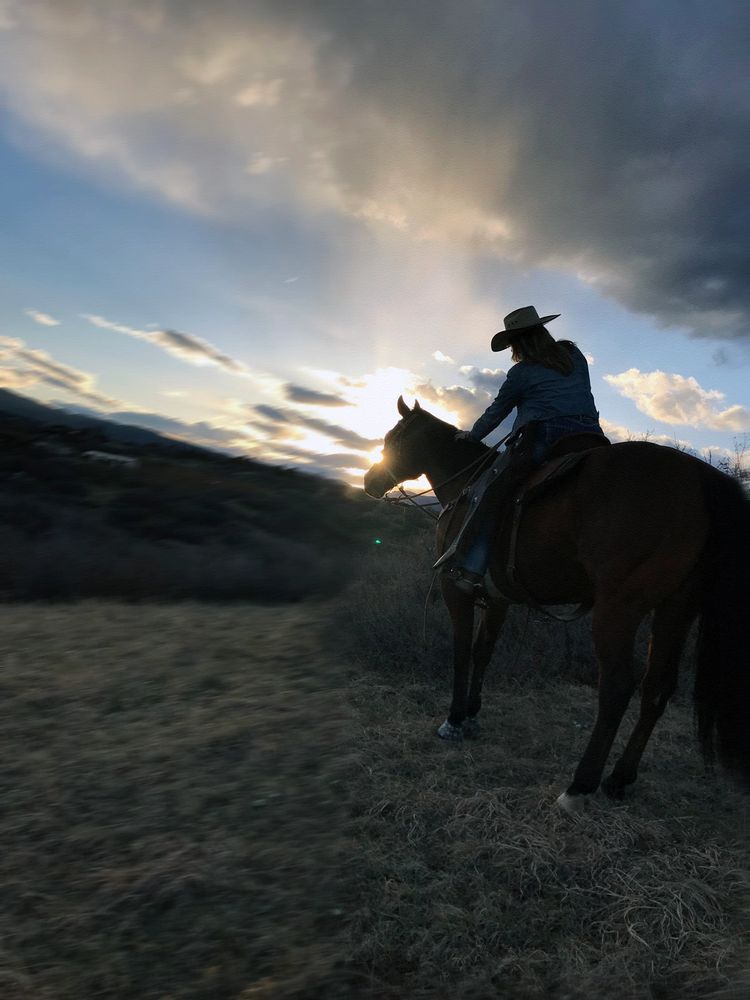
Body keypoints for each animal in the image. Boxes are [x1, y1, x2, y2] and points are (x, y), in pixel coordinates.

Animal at [364, 396, 750, 812]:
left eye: (394, 438)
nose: (369, 481)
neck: (466, 489)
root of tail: (698, 476)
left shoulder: (456, 590)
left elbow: (462, 653)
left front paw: (452, 720)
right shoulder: (499, 599)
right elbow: (484, 652)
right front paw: (471, 714)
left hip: (619, 608)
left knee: (617, 686)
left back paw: (580, 785)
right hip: (677, 609)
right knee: (657, 688)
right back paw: (619, 780)